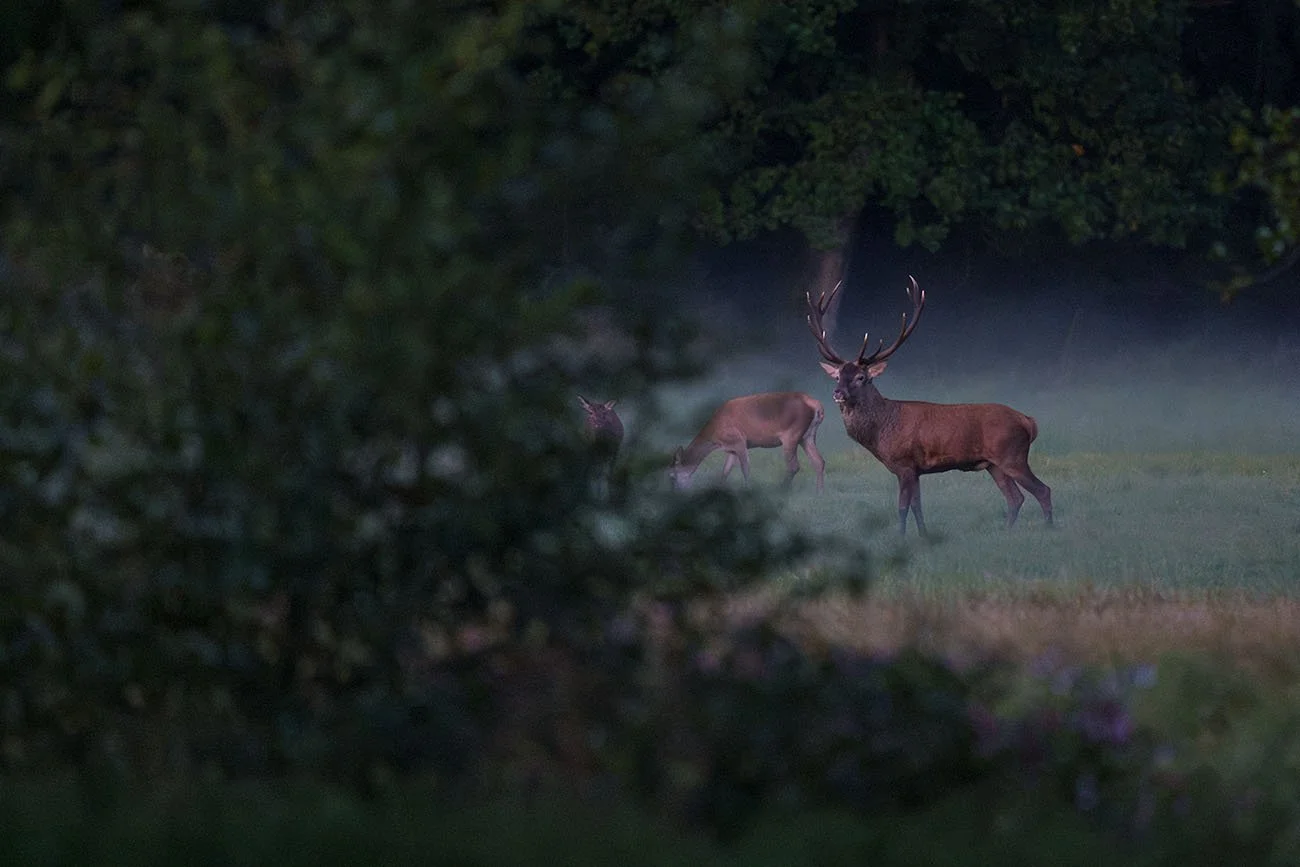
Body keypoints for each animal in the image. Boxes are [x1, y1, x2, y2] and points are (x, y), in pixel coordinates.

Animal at [668, 392, 826, 492]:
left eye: (672, 476)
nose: (675, 493)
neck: (715, 435)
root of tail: (816, 405)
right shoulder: (730, 448)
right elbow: (725, 472)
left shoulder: (739, 441)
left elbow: (745, 468)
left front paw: (747, 489)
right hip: (807, 436)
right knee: (819, 461)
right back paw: (819, 493)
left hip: (791, 434)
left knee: (794, 466)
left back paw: (782, 490)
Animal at [807, 276, 1052, 536]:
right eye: (837, 376)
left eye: (861, 377)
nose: (838, 393)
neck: (881, 431)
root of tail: (1029, 421)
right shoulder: (916, 470)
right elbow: (917, 506)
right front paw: (924, 535)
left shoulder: (904, 464)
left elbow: (902, 507)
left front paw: (901, 537)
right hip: (994, 465)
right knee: (1015, 497)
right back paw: (1007, 531)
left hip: (1013, 455)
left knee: (1042, 490)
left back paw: (1049, 528)